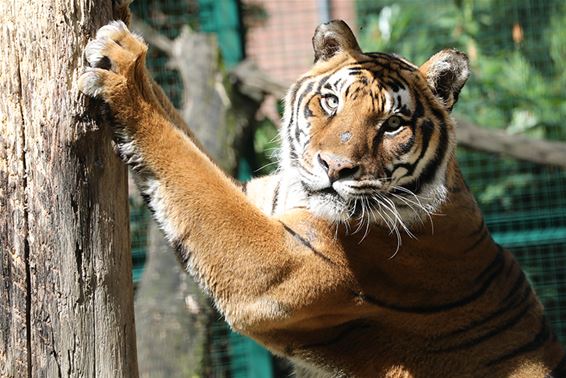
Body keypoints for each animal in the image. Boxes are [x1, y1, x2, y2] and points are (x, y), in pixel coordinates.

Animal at [79, 12, 566, 378]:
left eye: (393, 124)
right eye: (332, 101)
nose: (335, 167)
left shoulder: (276, 262)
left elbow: (185, 164)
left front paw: (123, 70)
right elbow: (187, 143)